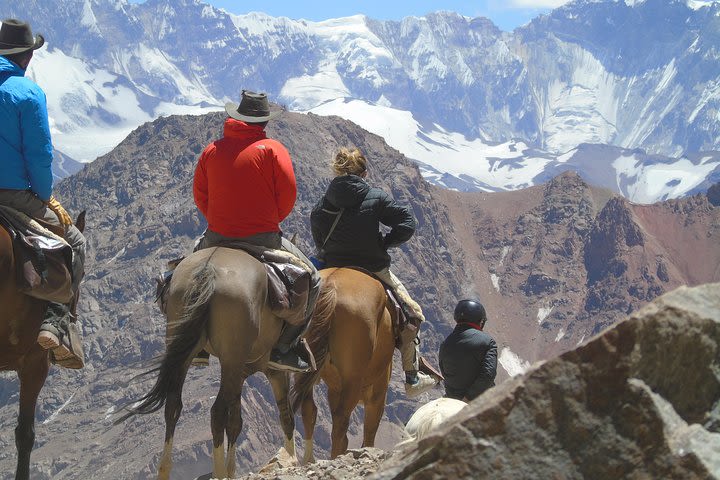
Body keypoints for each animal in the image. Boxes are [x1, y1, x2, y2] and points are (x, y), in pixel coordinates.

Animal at [118, 248, 332, 480]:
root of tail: (208, 269)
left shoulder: (240, 373)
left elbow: (236, 421)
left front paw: (233, 469)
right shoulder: (273, 371)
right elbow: (285, 415)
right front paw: (289, 459)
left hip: (186, 352)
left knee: (173, 405)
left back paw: (165, 470)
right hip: (230, 359)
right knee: (217, 411)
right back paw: (218, 472)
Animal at [290, 268, 396, 464]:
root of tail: (331, 285)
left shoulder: (335, 389)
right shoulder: (378, 390)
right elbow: (370, 429)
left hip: (305, 368)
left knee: (309, 409)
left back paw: (309, 459)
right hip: (354, 379)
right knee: (341, 420)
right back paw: (334, 457)